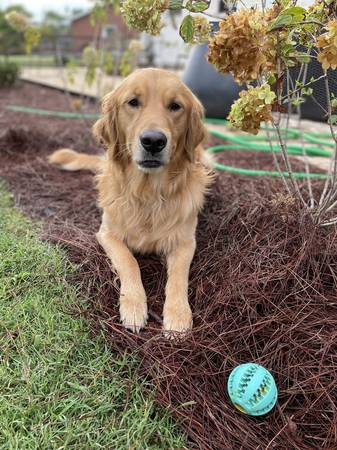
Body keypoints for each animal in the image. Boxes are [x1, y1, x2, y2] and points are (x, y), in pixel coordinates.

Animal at [48, 67, 213, 334]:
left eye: (175, 106)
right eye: (133, 102)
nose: (154, 141)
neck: (147, 193)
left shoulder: (185, 241)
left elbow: (178, 276)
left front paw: (178, 315)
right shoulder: (107, 233)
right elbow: (129, 262)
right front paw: (134, 305)